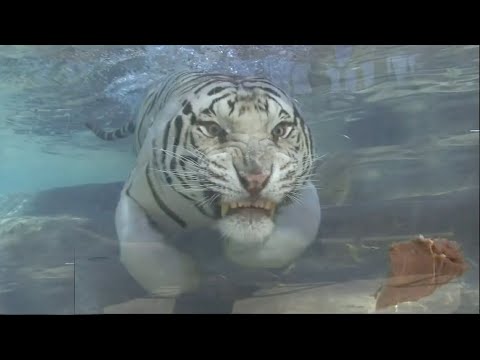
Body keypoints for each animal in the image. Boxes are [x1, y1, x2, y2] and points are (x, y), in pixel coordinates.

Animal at [85, 70, 322, 300]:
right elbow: (140, 248)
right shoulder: (134, 194)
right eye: (213, 129)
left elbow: (295, 235)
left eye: (280, 130)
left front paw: (238, 250)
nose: (256, 179)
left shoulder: (303, 188)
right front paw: (182, 279)